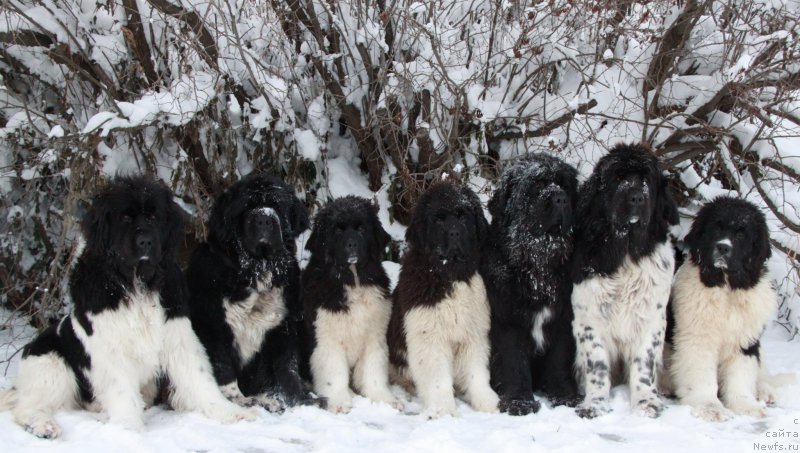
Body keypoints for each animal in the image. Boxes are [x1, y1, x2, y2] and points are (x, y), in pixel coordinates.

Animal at [186, 173, 314, 410]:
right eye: (246, 206)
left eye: (277, 206)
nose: (264, 218)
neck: (257, 272)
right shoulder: (214, 326)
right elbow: (224, 368)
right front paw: (237, 401)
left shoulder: (283, 327)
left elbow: (287, 367)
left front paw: (299, 398)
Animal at [390, 180, 500, 416]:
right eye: (438, 219)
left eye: (462, 215)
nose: (455, 233)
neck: (452, 275)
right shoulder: (430, 336)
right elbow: (438, 378)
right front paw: (444, 410)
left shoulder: (473, 333)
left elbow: (476, 373)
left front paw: (487, 402)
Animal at [478, 154, 580, 414]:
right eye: (536, 185)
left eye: (564, 185)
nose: (559, 198)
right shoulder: (507, 320)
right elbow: (514, 361)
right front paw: (519, 401)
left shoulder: (563, 319)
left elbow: (559, 360)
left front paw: (564, 396)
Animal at [572, 143, 680, 418]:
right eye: (618, 178)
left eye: (647, 180)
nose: (637, 197)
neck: (626, 253)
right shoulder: (589, 319)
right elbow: (597, 364)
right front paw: (595, 404)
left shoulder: (651, 318)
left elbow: (645, 362)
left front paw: (646, 402)